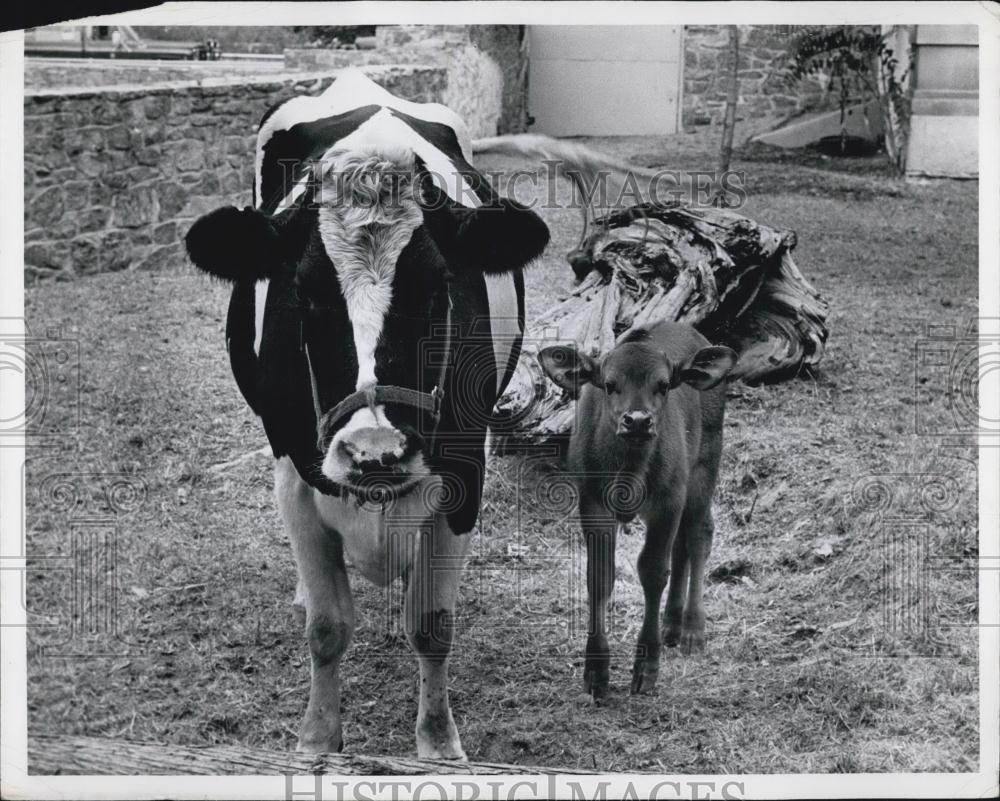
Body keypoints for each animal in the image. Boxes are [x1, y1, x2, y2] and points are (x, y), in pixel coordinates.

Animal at [184, 69, 552, 756]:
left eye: (437, 290)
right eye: (304, 296)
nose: (375, 453)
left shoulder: (465, 470)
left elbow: (431, 624)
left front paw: (438, 743)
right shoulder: (297, 475)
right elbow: (329, 628)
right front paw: (318, 738)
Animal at [540, 322, 736, 696]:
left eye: (663, 384)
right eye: (609, 384)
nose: (638, 420)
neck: (630, 469)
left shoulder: (668, 500)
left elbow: (653, 571)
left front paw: (646, 667)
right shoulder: (593, 501)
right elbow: (600, 575)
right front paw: (596, 671)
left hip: (704, 466)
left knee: (699, 535)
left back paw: (692, 629)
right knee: (682, 545)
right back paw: (672, 624)